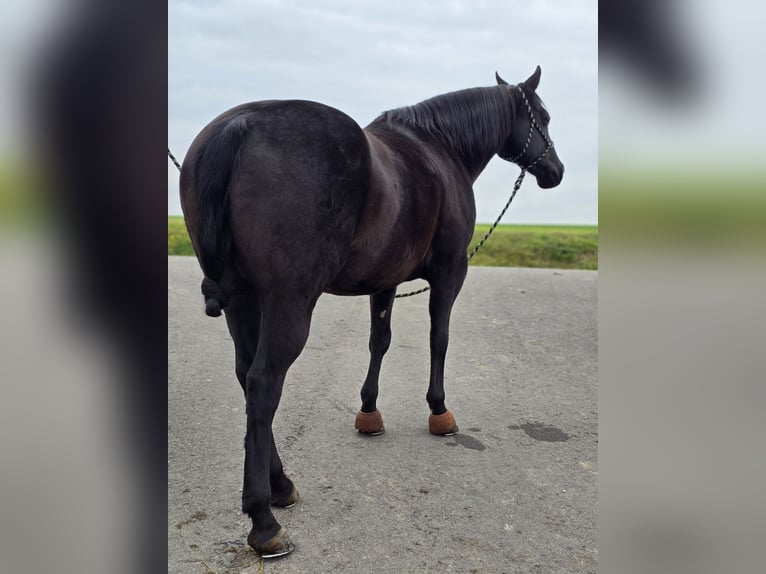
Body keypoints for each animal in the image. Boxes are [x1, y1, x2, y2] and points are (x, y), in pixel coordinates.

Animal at [179, 66, 564, 557]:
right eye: (544, 117)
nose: (556, 171)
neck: (439, 150)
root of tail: (240, 126)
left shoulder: (385, 281)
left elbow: (378, 342)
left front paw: (369, 412)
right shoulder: (450, 272)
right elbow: (440, 338)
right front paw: (439, 410)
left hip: (242, 301)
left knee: (246, 376)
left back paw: (281, 484)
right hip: (288, 303)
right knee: (263, 383)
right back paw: (264, 520)